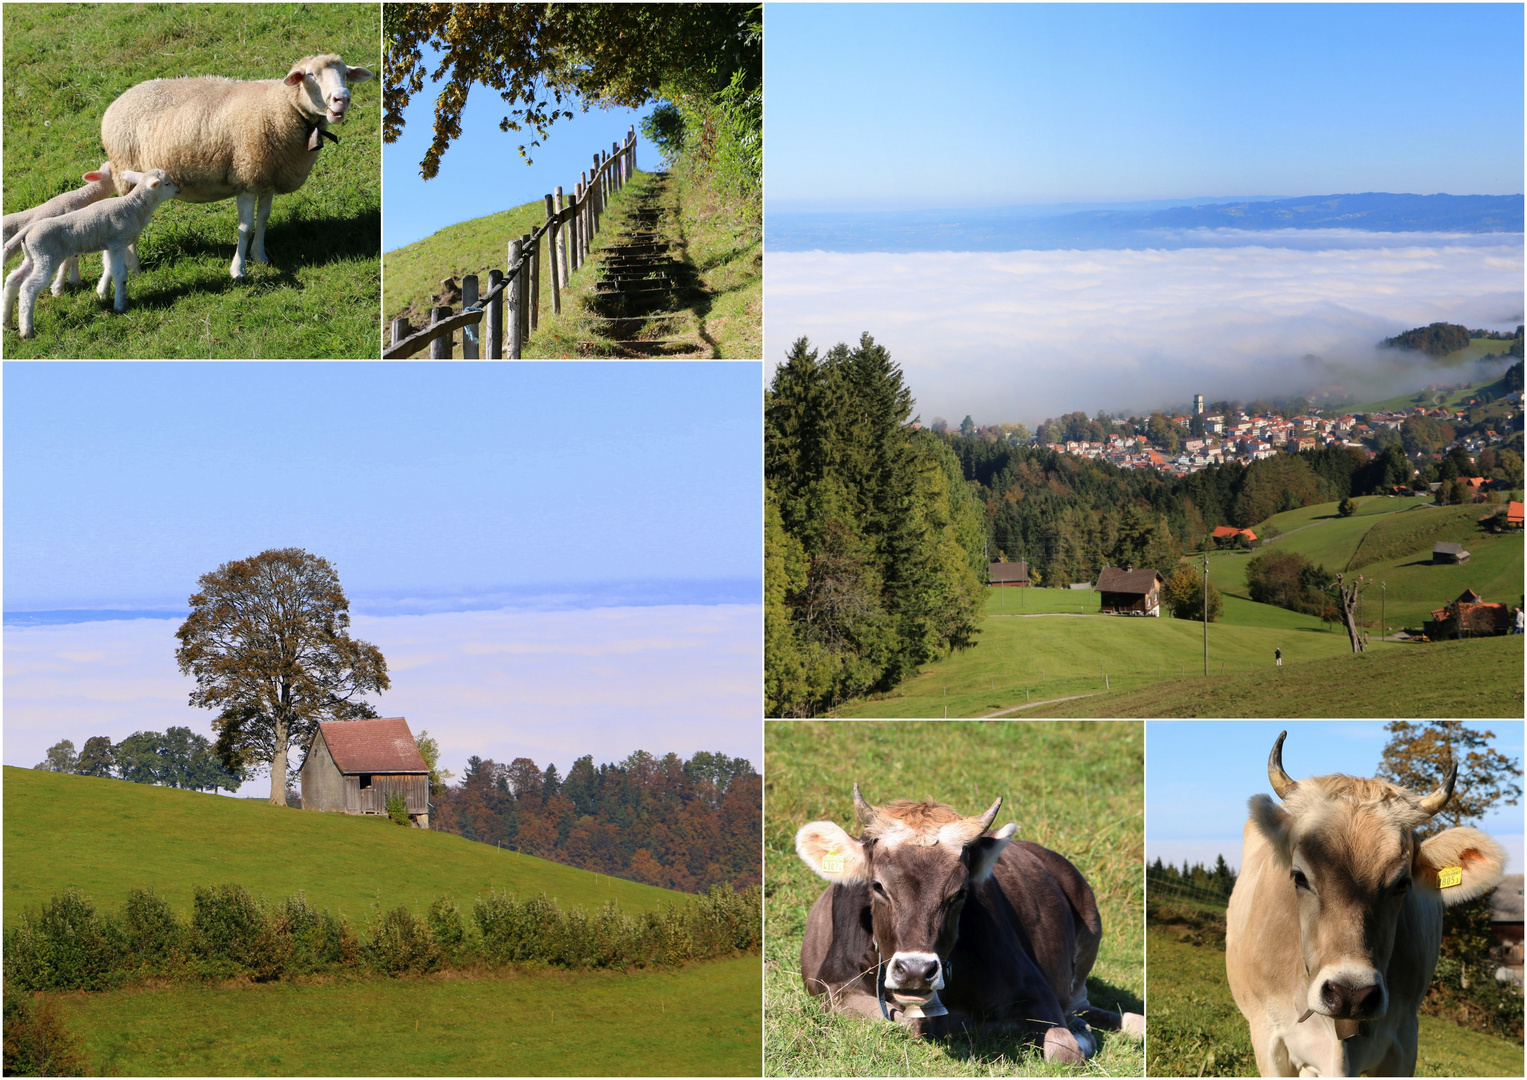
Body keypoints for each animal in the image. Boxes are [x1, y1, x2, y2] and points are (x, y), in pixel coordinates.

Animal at [101, 53, 372, 282]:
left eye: (345, 73)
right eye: (311, 75)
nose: (342, 99)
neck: (280, 107)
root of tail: (120, 99)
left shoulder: (266, 178)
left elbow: (263, 219)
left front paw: (260, 256)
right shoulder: (247, 177)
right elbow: (245, 227)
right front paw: (238, 269)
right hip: (126, 175)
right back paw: (134, 268)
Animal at [800, 788, 1148, 1063]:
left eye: (960, 892)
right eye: (877, 886)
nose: (915, 971)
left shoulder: (1038, 990)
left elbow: (1065, 1051)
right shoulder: (833, 985)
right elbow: (909, 1023)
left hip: (1088, 938)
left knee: (1082, 1007)